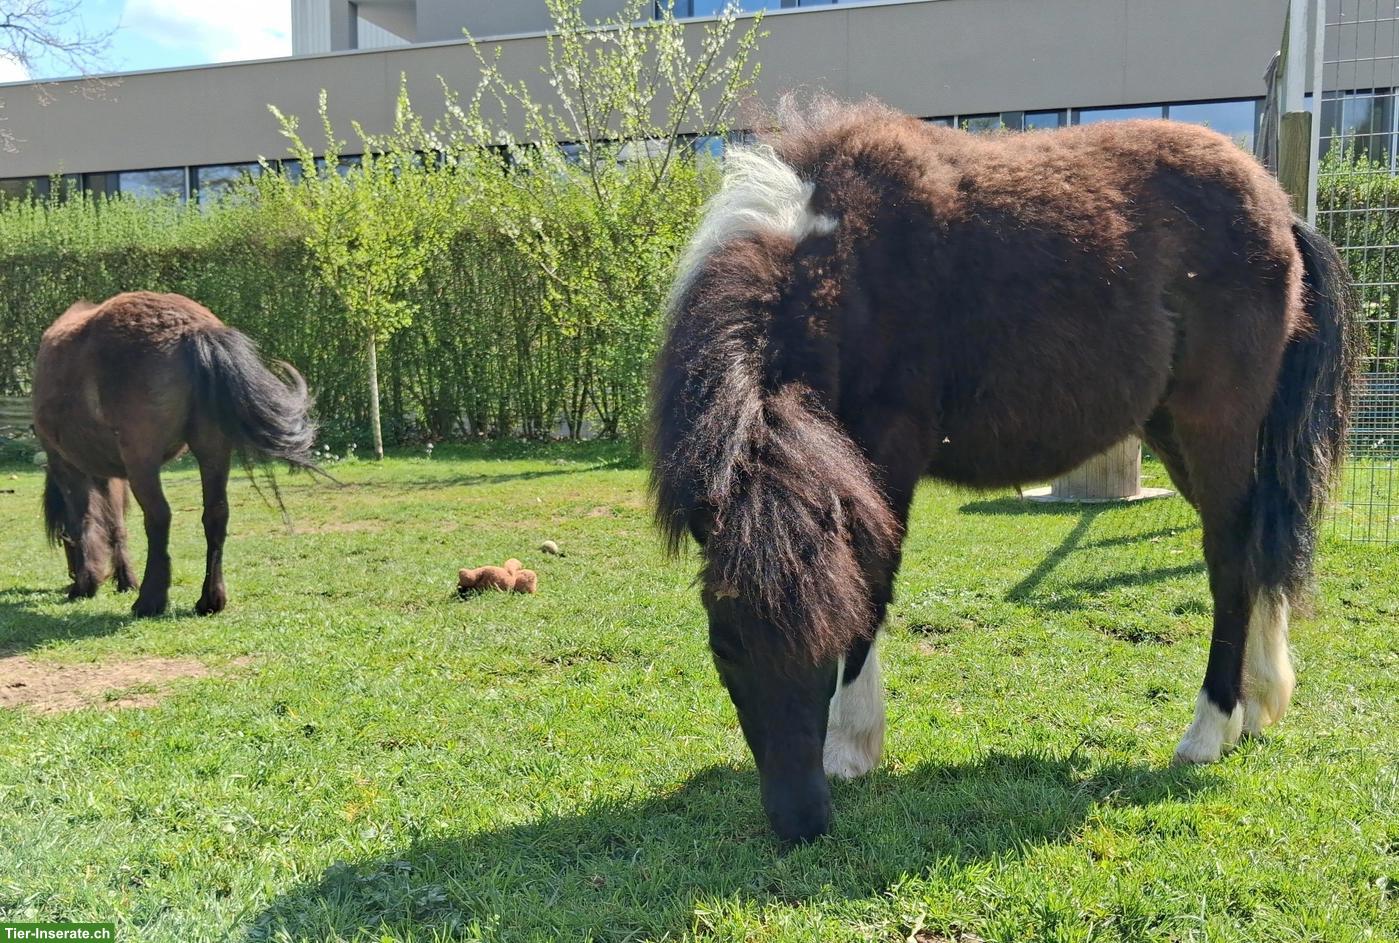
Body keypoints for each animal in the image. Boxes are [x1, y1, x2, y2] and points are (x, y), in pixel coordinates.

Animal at [32, 291, 318, 618]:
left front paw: (87, 583)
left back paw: (149, 600)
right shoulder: (110, 474)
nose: (70, 578)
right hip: (212, 449)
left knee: (159, 516)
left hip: (142, 460)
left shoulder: (68, 466)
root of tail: (192, 329)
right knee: (216, 514)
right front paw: (122, 579)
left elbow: (82, 522)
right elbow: (115, 523)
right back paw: (210, 599)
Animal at [651, 101, 1357, 842]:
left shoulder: (886, 457)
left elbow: (871, 588)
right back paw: (1255, 707)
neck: (842, 254)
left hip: (1214, 427)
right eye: (724, 647)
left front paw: (851, 746)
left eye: (823, 643)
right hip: (1174, 433)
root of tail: (1280, 211)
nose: (802, 820)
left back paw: (1208, 730)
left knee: (1228, 566)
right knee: (1255, 554)